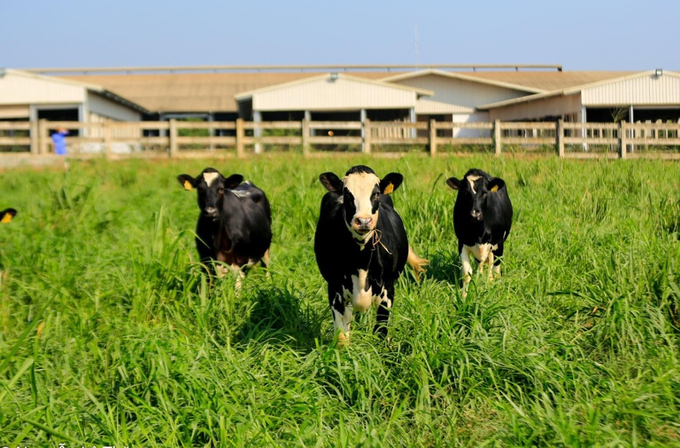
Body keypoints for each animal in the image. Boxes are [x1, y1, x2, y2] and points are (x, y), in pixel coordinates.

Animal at [314, 164, 424, 344]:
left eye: (376, 193)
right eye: (347, 194)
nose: (364, 221)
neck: (361, 260)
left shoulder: (388, 289)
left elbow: (381, 332)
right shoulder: (334, 288)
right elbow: (342, 336)